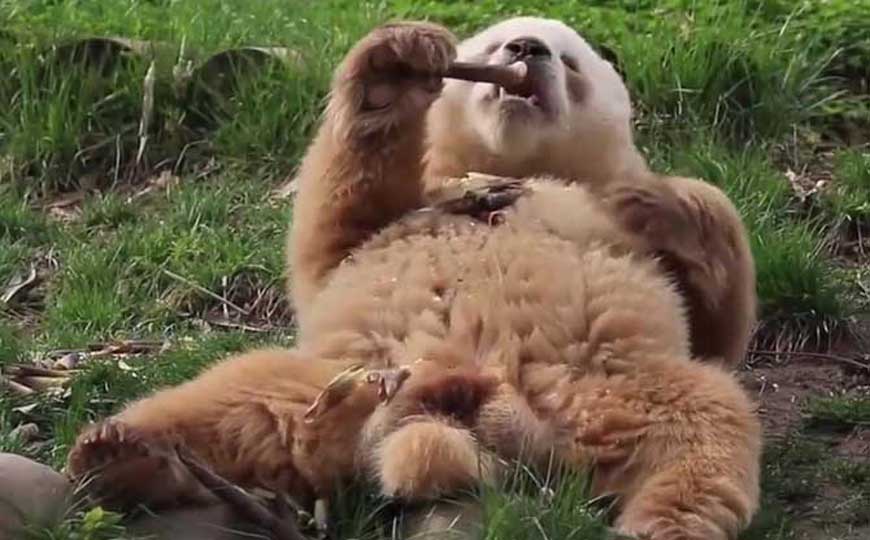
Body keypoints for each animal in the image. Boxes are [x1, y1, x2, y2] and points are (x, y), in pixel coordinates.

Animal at [68, 21, 762, 540]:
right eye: (496, 42)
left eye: (569, 60)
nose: (526, 51)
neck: (507, 159)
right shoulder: (414, 206)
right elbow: (337, 231)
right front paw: (394, 68)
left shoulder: (614, 213)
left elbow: (719, 321)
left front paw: (658, 201)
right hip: (334, 379)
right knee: (223, 405)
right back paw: (122, 456)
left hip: (617, 386)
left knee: (705, 436)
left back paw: (662, 523)